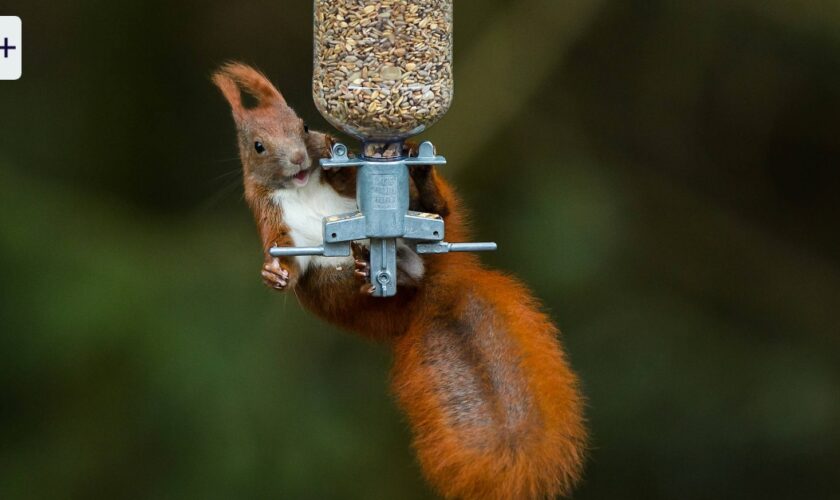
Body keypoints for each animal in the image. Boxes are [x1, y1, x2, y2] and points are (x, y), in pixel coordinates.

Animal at [213, 63, 588, 500]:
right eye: (258, 146)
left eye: (303, 125)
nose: (298, 156)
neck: (303, 189)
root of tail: (434, 293)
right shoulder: (271, 220)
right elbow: (288, 261)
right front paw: (273, 273)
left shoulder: (340, 182)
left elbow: (344, 176)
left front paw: (331, 147)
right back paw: (376, 271)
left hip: (436, 227)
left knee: (440, 210)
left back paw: (423, 184)